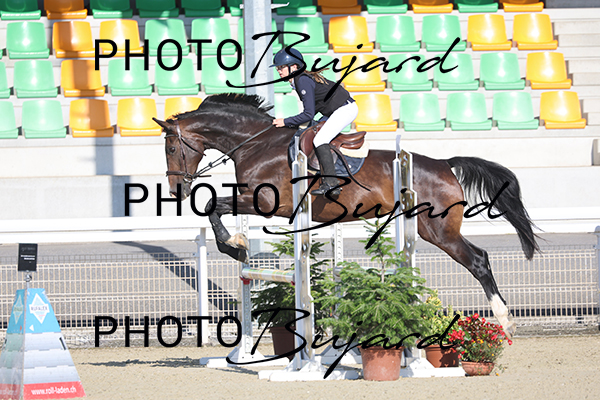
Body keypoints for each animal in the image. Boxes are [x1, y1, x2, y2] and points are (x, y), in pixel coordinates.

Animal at [153, 93, 539, 338]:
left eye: (171, 147)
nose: (176, 190)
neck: (255, 143)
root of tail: (445, 164)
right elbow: (215, 207)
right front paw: (238, 243)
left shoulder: (265, 202)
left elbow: (212, 206)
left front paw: (235, 245)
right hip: (426, 229)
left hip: (440, 230)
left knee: (478, 260)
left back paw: (505, 321)